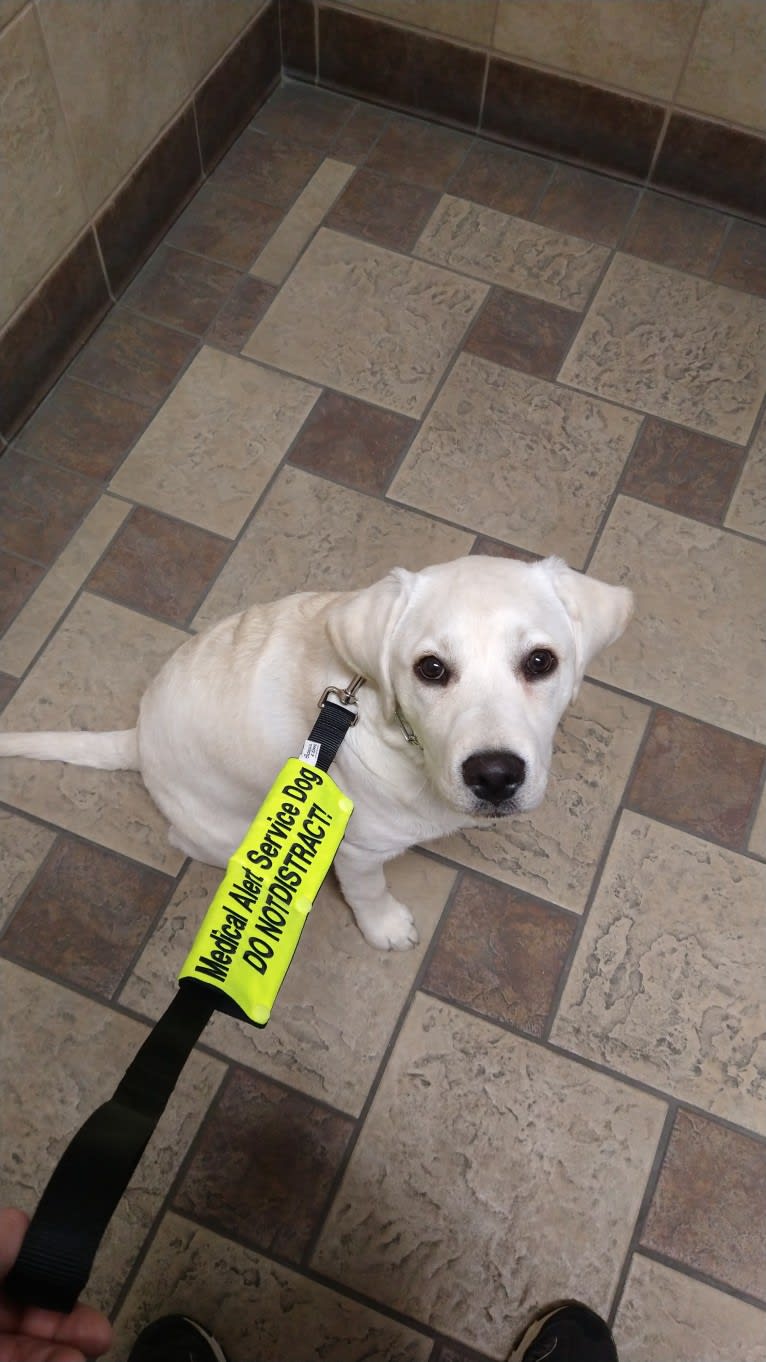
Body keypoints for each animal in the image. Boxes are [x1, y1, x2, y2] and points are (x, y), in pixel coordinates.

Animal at [2, 552, 629, 947]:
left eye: (541, 661)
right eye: (430, 669)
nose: (495, 776)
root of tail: (137, 736)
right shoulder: (359, 850)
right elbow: (369, 892)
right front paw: (385, 928)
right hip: (222, 830)